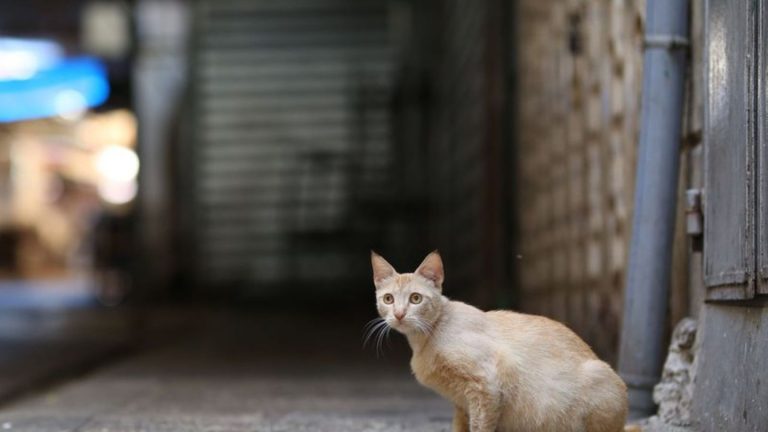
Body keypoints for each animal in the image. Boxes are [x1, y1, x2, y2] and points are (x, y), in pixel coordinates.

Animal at [368, 251, 628, 432]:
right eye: (388, 299)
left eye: (415, 298)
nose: (399, 314)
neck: (425, 339)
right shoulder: (462, 402)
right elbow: (461, 427)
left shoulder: (487, 384)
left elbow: (480, 426)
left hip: (597, 377)